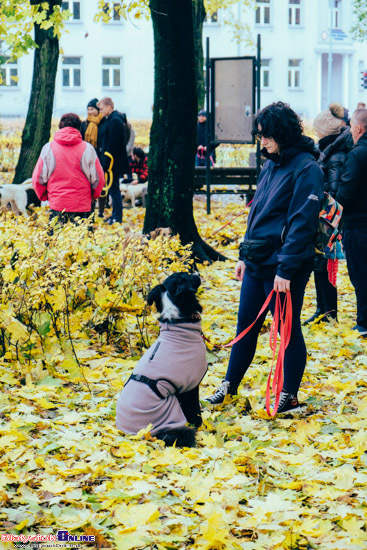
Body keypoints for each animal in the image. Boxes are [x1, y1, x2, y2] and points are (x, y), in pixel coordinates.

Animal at [115, 272, 207, 448]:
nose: (197, 273)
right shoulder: (190, 385)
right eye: (187, 276)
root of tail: (136, 435)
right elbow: (194, 410)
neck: (178, 322)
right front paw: (201, 425)